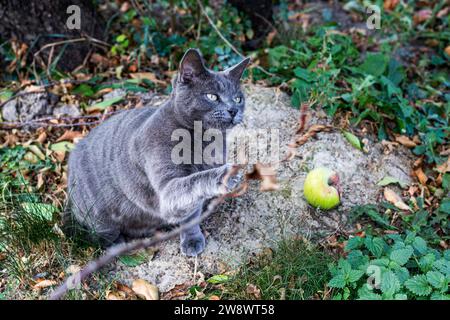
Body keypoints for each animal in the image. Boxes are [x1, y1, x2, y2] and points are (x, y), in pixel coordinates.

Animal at [65, 48, 251, 256]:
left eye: (238, 98)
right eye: (212, 96)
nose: (233, 110)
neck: (205, 142)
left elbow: (191, 210)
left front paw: (192, 239)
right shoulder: (166, 185)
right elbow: (194, 182)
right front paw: (229, 174)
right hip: (98, 215)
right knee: (100, 236)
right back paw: (120, 245)